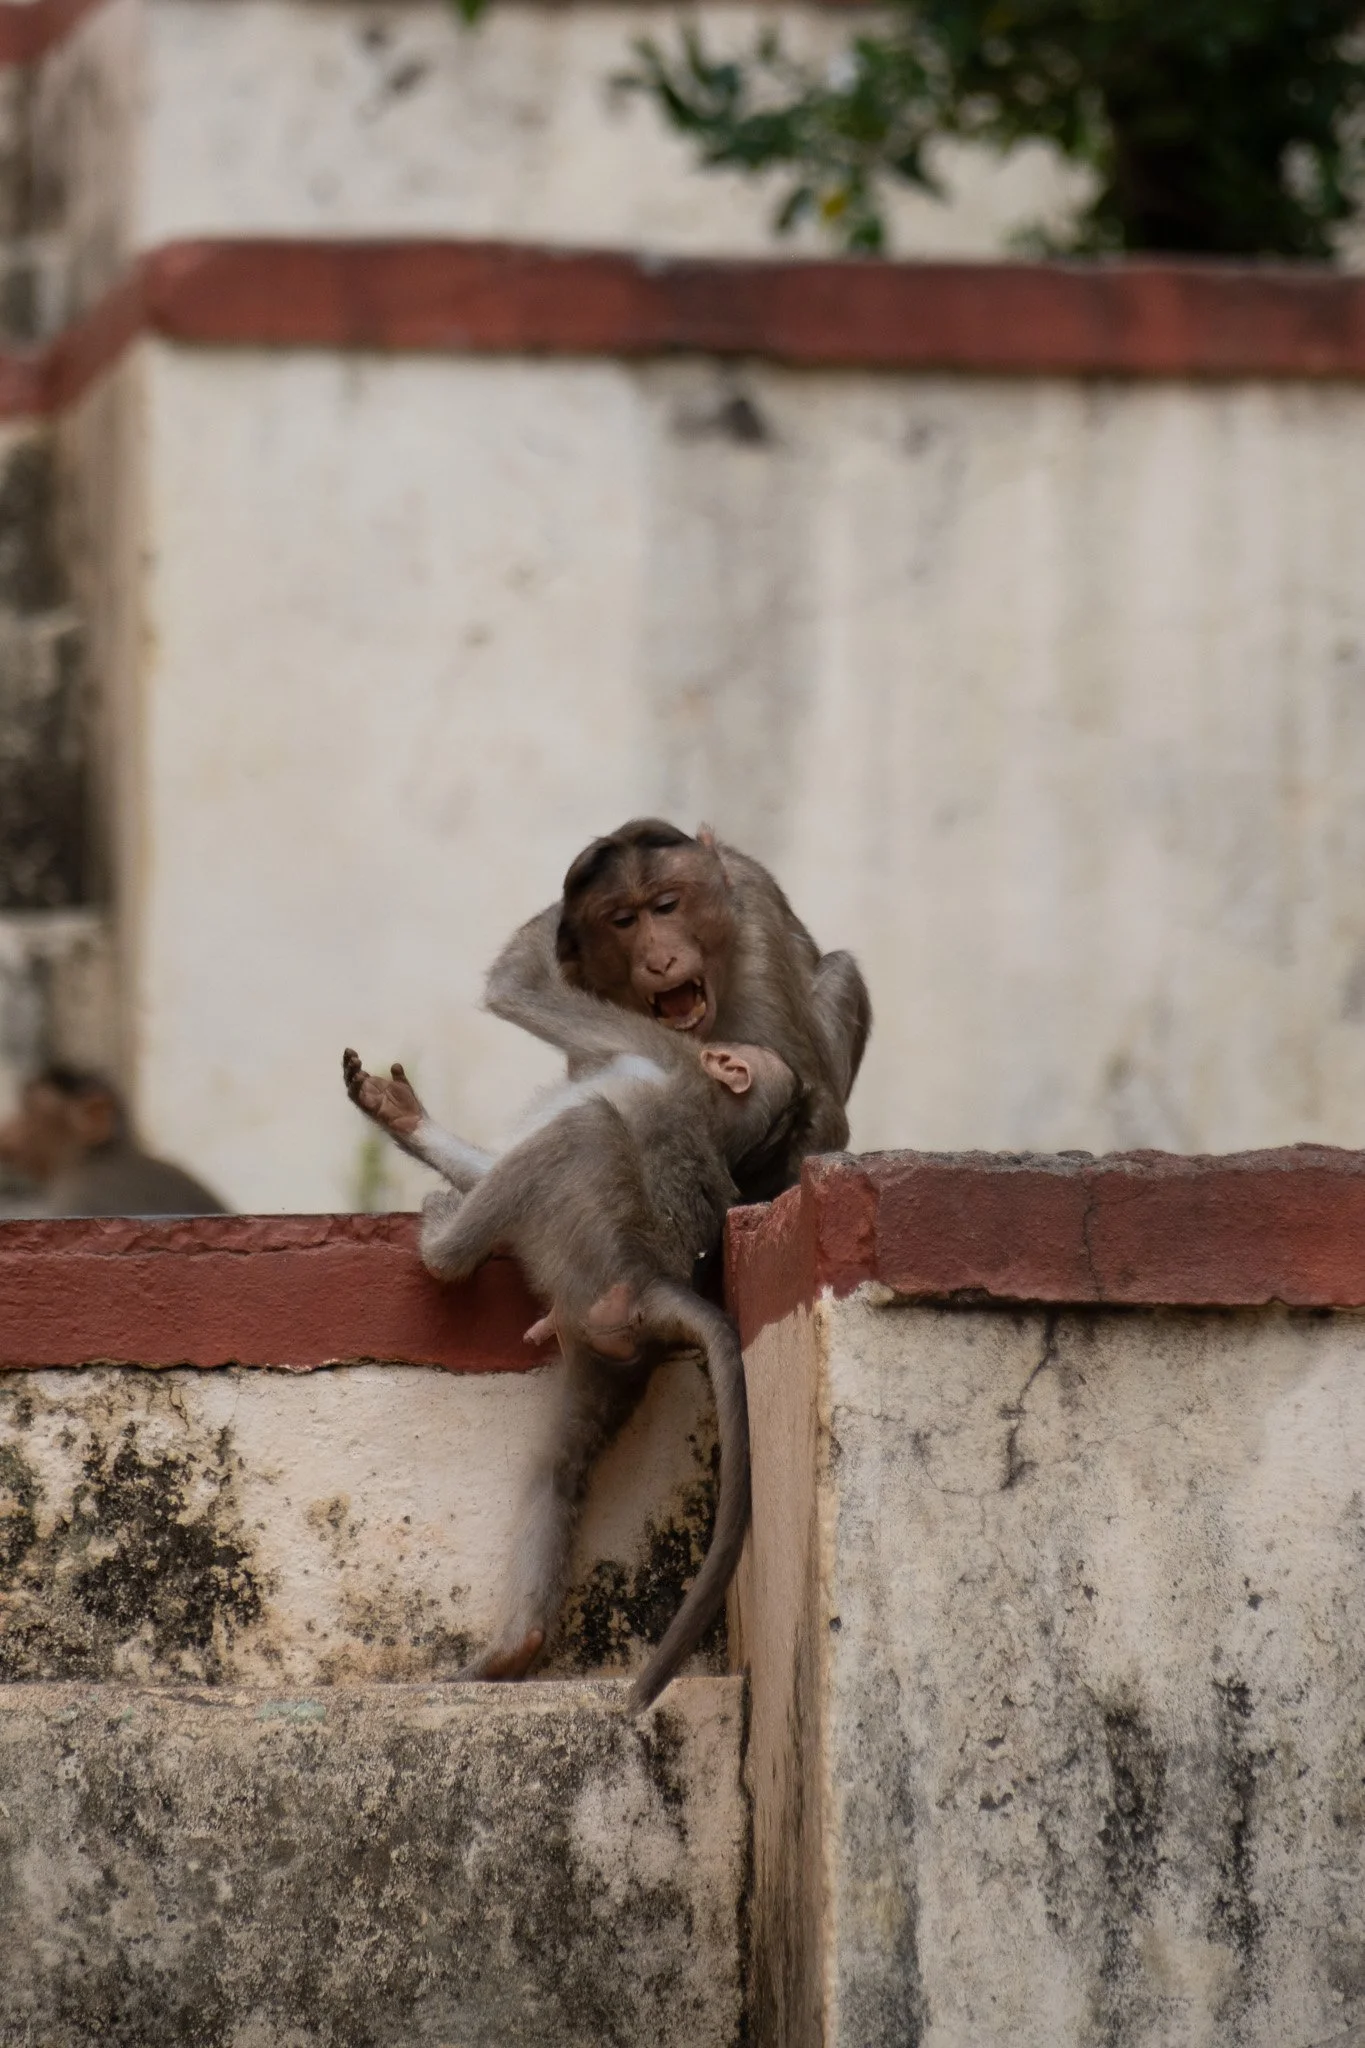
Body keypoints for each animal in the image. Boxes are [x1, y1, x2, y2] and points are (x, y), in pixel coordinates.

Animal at [342, 1030, 800, 1713]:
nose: (715, 1042)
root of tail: (650, 1282)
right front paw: (403, 1115)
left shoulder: (645, 1073)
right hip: (607, 1346)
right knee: (560, 1467)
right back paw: (515, 1647)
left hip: (590, 1243)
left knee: (582, 1127)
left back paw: (444, 1249)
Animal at [483, 820, 870, 1202]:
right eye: (623, 920)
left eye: (666, 906)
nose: (659, 961)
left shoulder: (755, 932)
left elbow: (819, 1102)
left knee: (841, 969)